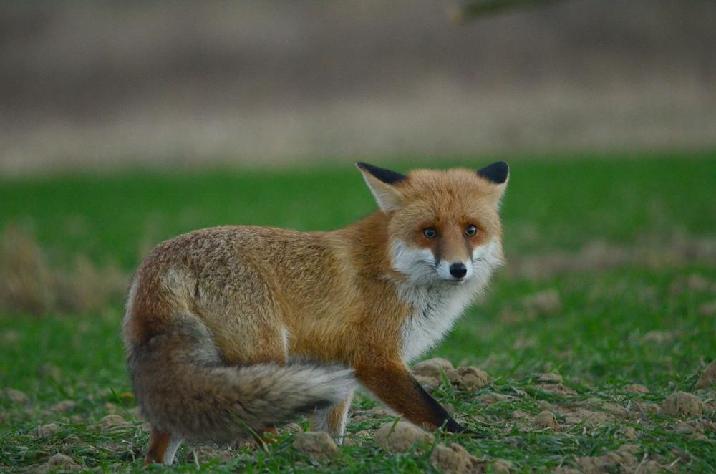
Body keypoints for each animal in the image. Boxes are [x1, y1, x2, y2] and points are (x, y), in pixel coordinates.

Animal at [123, 161, 510, 464]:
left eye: (471, 230)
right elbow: (434, 412)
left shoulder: (337, 368)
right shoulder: (376, 359)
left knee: (161, 441)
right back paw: (281, 458)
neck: (392, 269)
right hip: (266, 357)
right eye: (429, 232)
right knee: (256, 428)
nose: (458, 269)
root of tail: (161, 259)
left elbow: (331, 429)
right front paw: (472, 444)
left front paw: (330, 455)